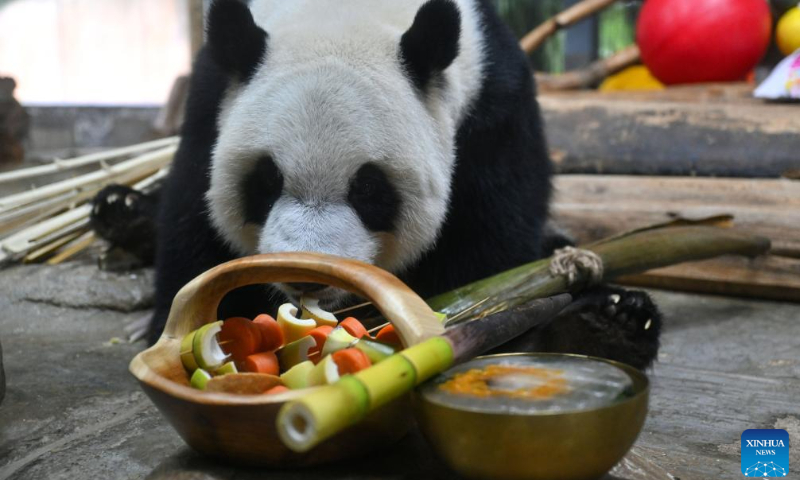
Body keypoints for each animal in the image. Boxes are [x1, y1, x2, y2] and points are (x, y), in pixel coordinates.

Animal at [92, 0, 664, 370]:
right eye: (266, 180)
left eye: (368, 189)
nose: (304, 275)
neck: (346, 11)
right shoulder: (214, 94)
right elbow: (193, 215)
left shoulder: (491, 105)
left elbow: (483, 244)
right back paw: (122, 210)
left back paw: (608, 322)